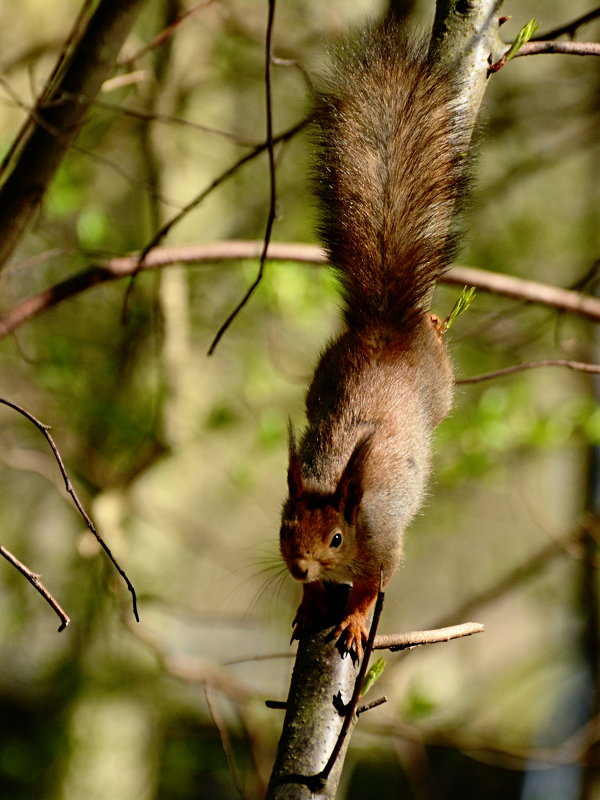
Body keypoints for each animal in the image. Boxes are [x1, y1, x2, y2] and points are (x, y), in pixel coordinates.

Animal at [278, 20, 472, 656]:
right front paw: (308, 601)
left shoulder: (383, 546)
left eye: (337, 538)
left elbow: (372, 585)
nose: (300, 566)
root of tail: (386, 325)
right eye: (285, 526)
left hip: (441, 389)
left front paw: (355, 619)